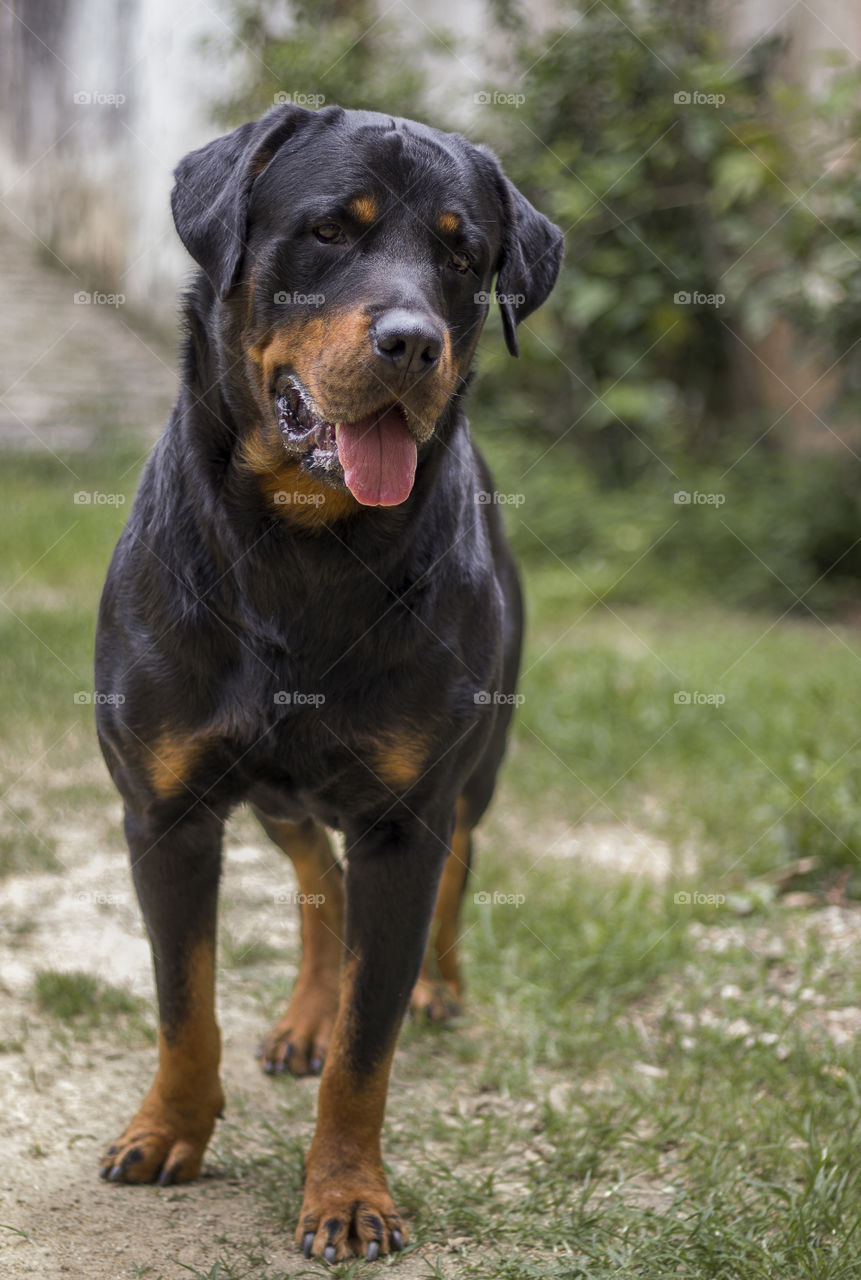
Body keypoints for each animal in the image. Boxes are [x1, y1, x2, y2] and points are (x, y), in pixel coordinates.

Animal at [95, 104, 562, 1264]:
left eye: (462, 256)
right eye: (327, 232)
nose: (413, 342)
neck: (302, 548)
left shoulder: (404, 815)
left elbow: (369, 1043)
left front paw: (347, 1192)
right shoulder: (164, 811)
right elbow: (184, 998)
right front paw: (169, 1129)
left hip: (474, 768)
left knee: (453, 870)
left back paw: (436, 984)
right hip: (274, 794)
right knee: (316, 873)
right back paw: (306, 1010)